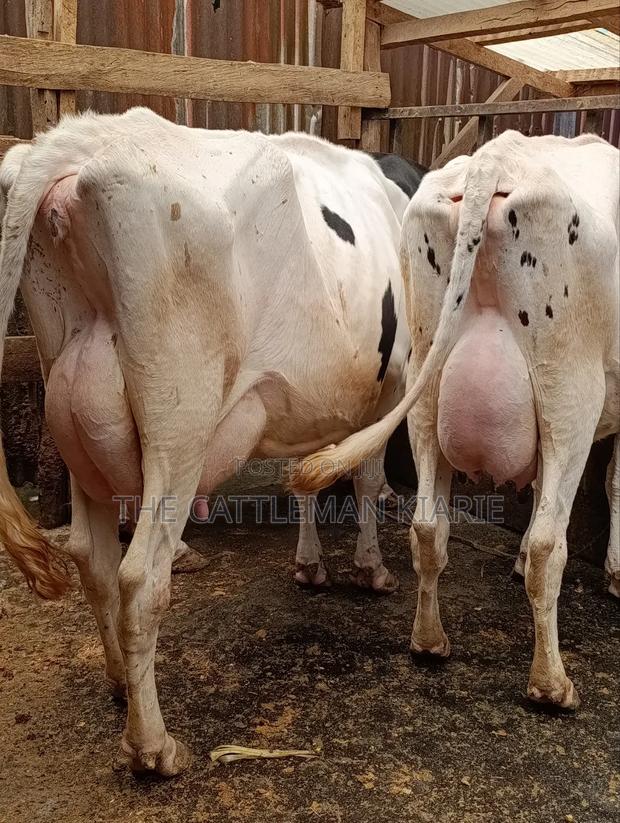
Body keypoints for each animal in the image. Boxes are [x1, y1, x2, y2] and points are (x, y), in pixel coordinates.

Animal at [0, 107, 425, 775]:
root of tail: (88, 138)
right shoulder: (395, 377)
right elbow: (364, 476)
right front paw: (371, 567)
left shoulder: (316, 396)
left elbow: (308, 473)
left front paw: (310, 564)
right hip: (180, 426)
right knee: (140, 579)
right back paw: (152, 746)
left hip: (74, 414)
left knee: (93, 560)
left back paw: (119, 686)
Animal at [293, 130, 619, 711]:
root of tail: (496, 159)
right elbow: (613, 483)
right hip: (568, 394)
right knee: (548, 545)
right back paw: (551, 683)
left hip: (425, 384)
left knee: (427, 526)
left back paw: (428, 640)